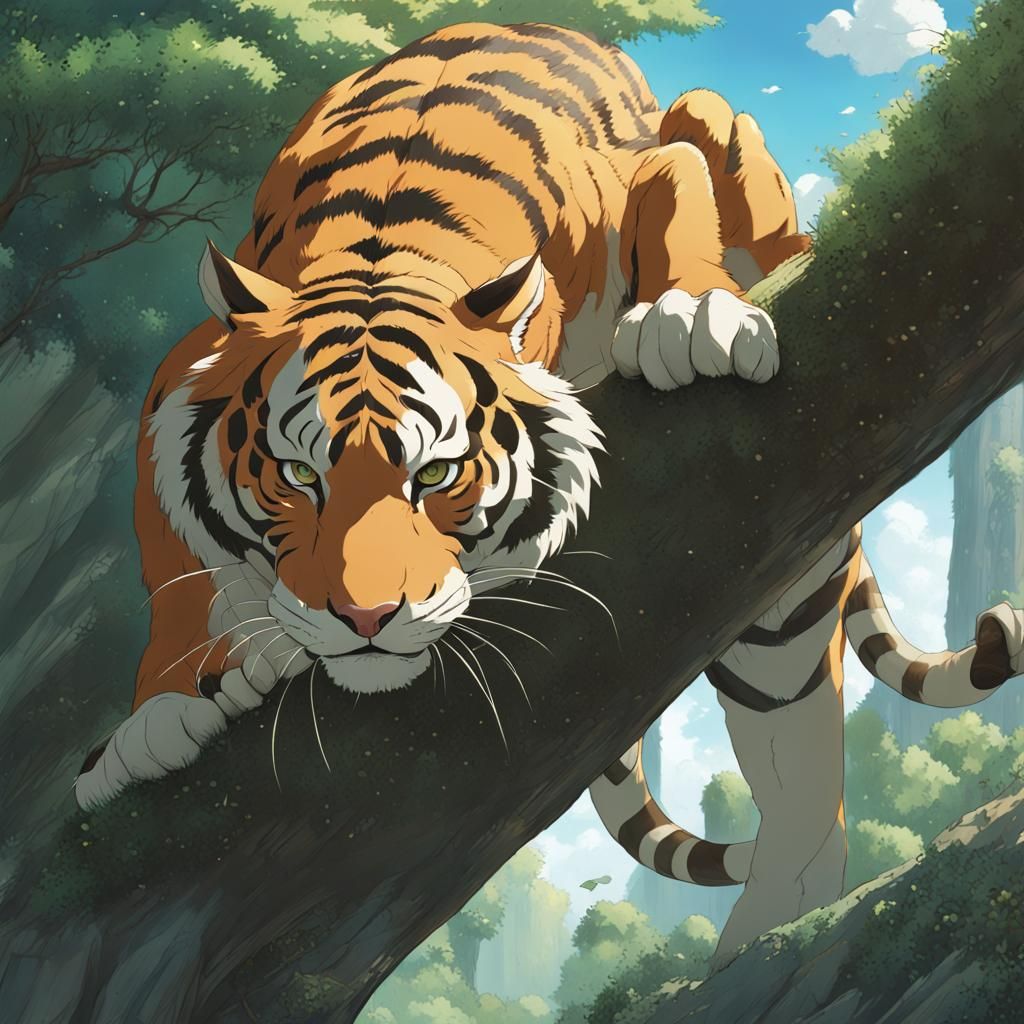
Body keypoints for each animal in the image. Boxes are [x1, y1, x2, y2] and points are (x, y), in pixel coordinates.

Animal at [75, 21, 1024, 966]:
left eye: (436, 474)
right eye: (300, 475)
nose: (366, 619)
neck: (385, 246)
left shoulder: (656, 173)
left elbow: (677, 194)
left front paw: (692, 317)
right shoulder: (178, 375)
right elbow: (167, 558)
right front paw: (162, 712)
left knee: (793, 715)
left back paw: (769, 927)